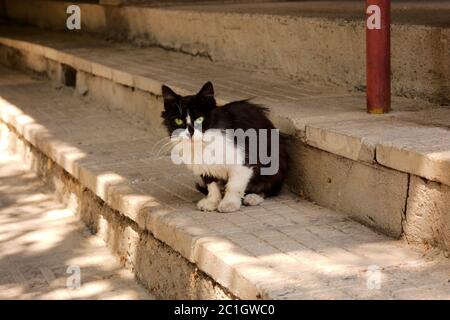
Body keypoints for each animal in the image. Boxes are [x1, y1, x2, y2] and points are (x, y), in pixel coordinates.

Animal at [162, 82, 288, 212]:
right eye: (178, 121)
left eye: (200, 119)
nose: (190, 133)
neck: (204, 144)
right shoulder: (204, 165)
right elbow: (212, 184)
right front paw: (212, 201)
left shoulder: (244, 158)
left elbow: (234, 185)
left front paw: (229, 203)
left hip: (276, 161)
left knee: (271, 187)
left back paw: (254, 197)